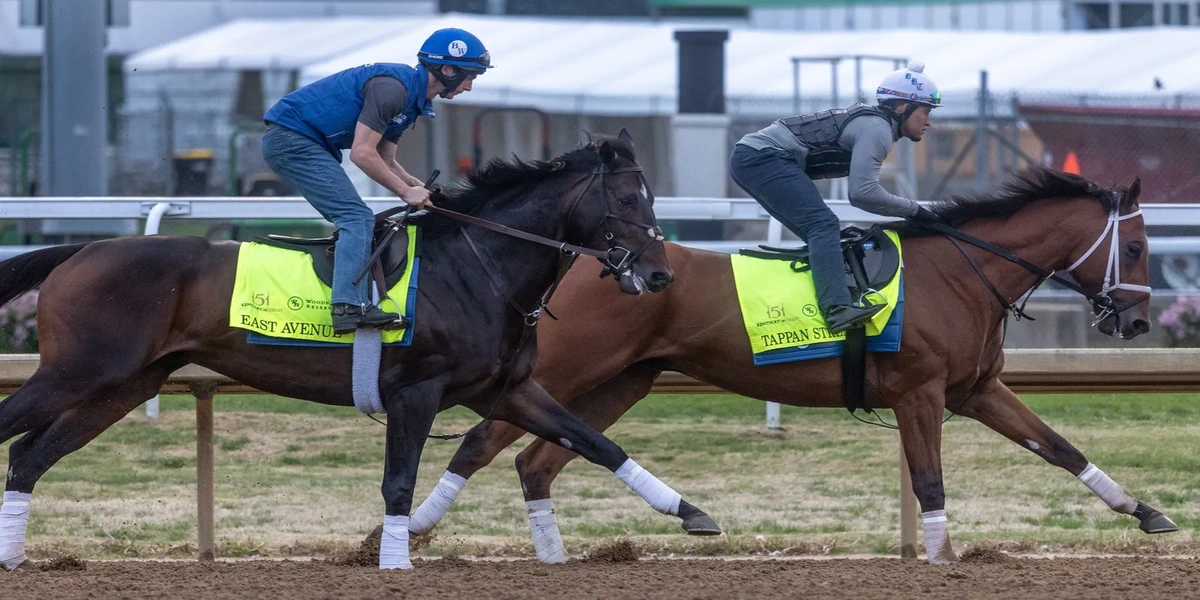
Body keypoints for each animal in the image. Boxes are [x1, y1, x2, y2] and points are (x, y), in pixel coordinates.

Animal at [0, 132, 722, 571]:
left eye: (651, 198)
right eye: (625, 198)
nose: (660, 274)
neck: (476, 265)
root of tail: (81, 251)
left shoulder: (507, 388)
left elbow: (594, 442)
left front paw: (691, 512)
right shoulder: (416, 392)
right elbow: (398, 480)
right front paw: (395, 561)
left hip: (126, 384)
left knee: (29, 456)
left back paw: (12, 555)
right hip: (79, 372)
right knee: (19, 440)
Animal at [406, 167, 1178, 564]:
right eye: (1139, 248)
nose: (1138, 322)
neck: (964, 272)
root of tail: (596, 258)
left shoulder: (976, 390)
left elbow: (1059, 447)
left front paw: (1146, 512)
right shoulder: (920, 393)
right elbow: (929, 480)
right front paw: (939, 557)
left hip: (626, 379)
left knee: (540, 459)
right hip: (564, 371)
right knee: (482, 442)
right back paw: (413, 530)